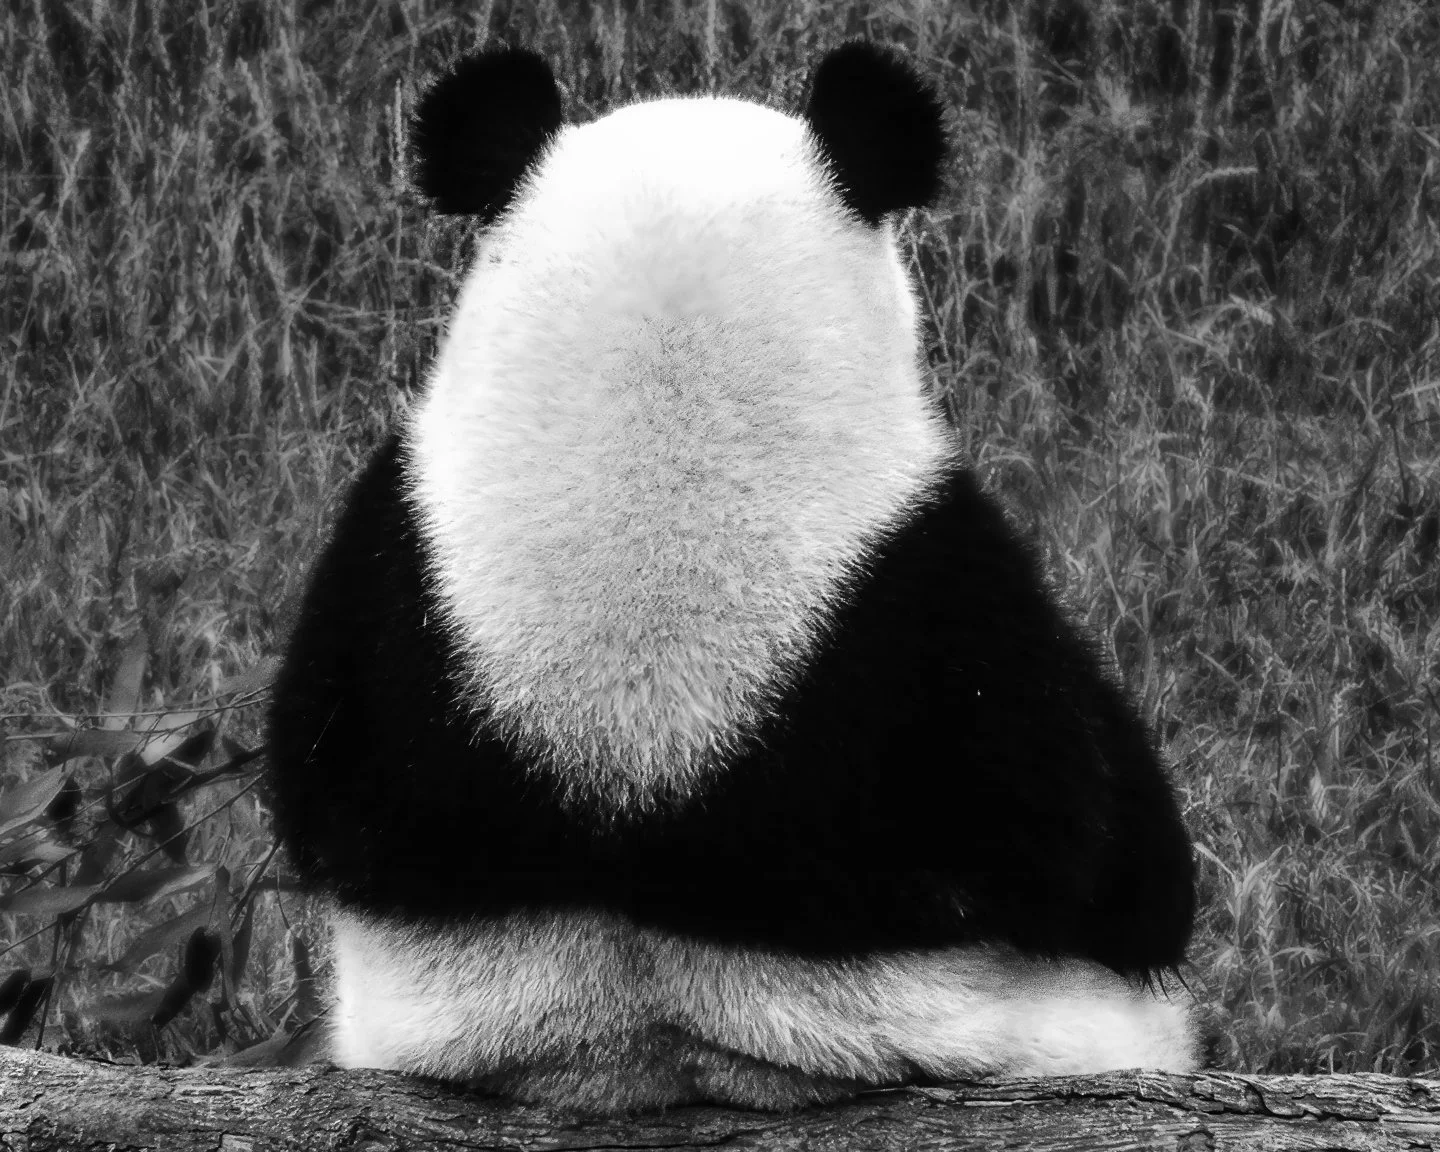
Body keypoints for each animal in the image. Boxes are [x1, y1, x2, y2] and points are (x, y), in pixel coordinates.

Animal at [267, 41, 1200, 1113]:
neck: (657, 435)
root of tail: (646, 1056)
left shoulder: (385, 560)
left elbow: (313, 792)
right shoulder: (957, 608)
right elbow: (1113, 863)